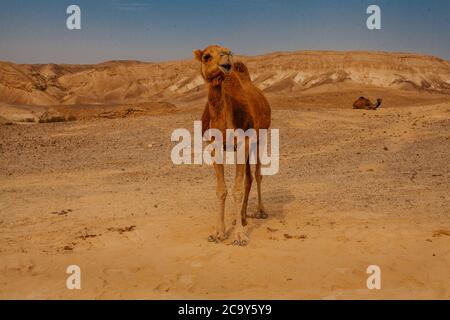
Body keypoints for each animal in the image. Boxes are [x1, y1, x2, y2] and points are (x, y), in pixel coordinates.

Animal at [193, 44, 270, 245]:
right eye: (206, 56)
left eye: (228, 51)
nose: (226, 55)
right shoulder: (214, 146)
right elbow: (222, 190)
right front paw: (219, 233)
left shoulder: (244, 143)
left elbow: (237, 189)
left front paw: (239, 236)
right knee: (249, 178)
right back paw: (240, 217)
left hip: (261, 138)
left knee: (257, 175)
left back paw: (260, 211)